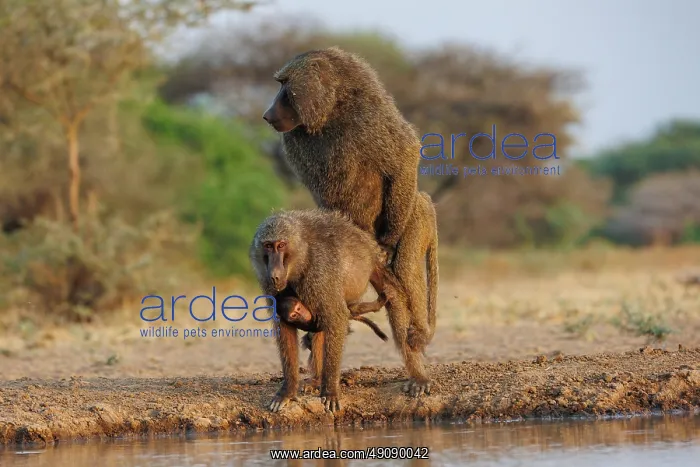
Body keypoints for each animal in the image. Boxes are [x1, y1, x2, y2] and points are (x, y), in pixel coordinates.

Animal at [249, 209, 406, 412]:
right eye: (268, 246)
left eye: (281, 245)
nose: (275, 275)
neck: (301, 255)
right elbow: (284, 326)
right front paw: (287, 392)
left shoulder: (319, 273)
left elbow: (336, 317)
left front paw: (330, 391)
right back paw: (317, 380)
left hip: (375, 267)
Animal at [262, 47, 439, 396]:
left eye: (284, 84)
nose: (267, 113)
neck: (333, 113)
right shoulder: (296, 143)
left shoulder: (369, 120)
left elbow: (404, 156)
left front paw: (390, 241)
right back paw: (317, 374)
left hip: (415, 213)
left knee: (404, 268)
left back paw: (418, 353)